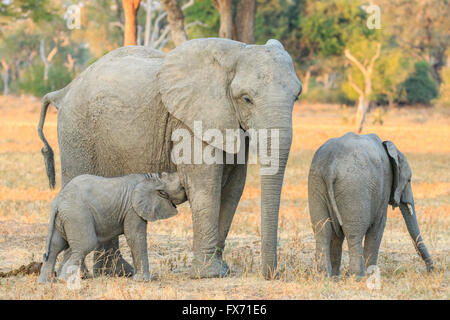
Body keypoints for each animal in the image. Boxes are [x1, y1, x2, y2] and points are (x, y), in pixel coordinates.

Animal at [37, 172, 186, 282]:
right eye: (182, 187)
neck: (153, 177)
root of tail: (57, 201)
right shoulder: (132, 209)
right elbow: (135, 237)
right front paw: (144, 280)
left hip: (63, 218)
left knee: (55, 247)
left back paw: (46, 282)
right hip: (77, 215)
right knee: (85, 245)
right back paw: (64, 279)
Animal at [308, 132, 434, 278]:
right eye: (409, 180)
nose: (430, 270)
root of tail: (329, 166)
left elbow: (336, 234)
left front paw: (335, 276)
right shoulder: (385, 185)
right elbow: (378, 226)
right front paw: (372, 274)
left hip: (316, 183)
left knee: (323, 230)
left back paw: (324, 276)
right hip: (354, 187)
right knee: (354, 234)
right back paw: (358, 276)